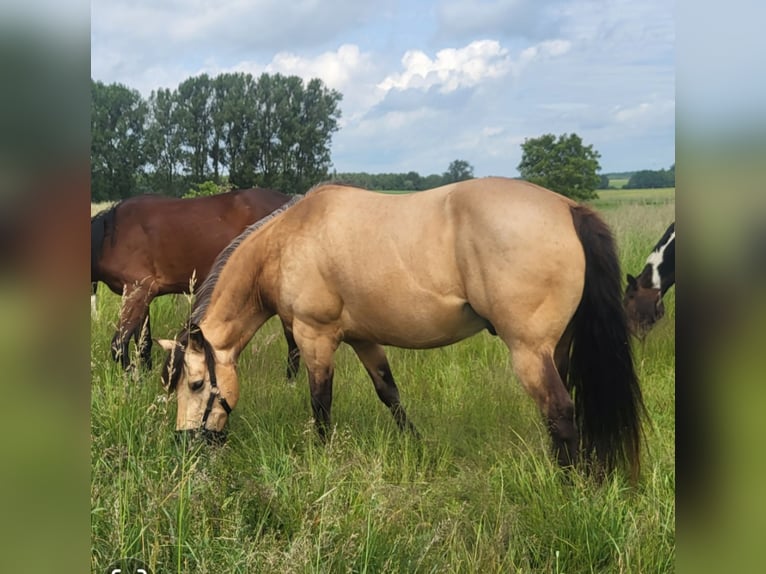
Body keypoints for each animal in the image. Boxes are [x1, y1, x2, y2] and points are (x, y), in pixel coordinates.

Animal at [92, 188, 301, 375]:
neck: (111, 235)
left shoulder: (137, 290)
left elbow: (119, 344)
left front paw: (133, 380)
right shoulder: (143, 294)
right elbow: (144, 343)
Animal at [158, 178, 645, 480]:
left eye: (196, 384)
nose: (187, 445)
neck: (285, 242)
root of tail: (567, 208)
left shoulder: (316, 338)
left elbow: (321, 402)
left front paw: (321, 455)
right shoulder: (363, 338)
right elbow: (389, 392)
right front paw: (417, 445)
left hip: (529, 351)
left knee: (559, 412)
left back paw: (568, 485)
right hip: (556, 350)